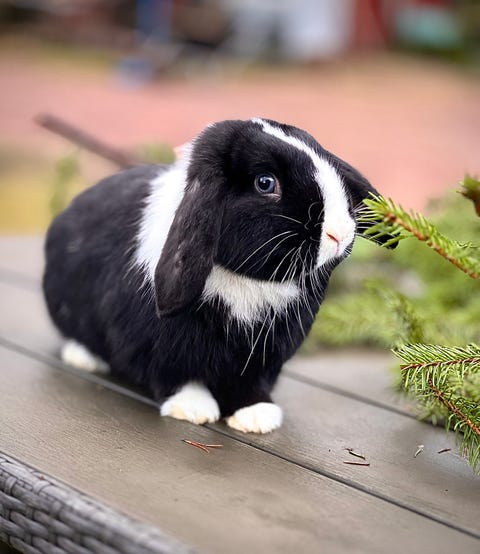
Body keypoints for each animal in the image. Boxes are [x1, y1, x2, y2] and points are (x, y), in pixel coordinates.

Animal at [43, 118, 393, 434]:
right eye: (265, 183)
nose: (339, 233)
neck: (246, 279)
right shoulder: (159, 349)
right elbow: (175, 378)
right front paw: (194, 409)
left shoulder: (263, 357)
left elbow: (251, 384)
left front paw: (257, 416)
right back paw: (84, 358)